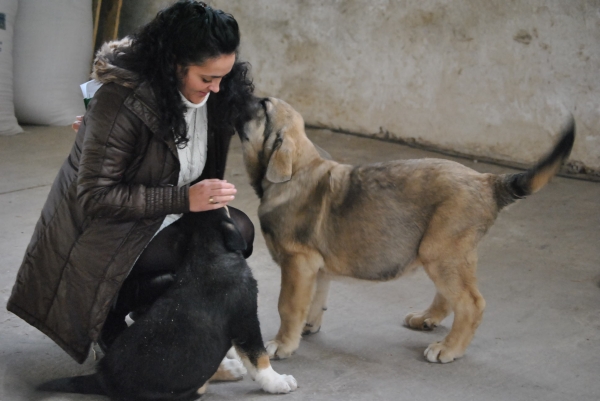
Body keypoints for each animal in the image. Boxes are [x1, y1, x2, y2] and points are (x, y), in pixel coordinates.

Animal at [38, 208, 296, 398]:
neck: (207, 253)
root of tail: (102, 378)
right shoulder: (246, 318)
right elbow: (259, 357)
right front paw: (277, 382)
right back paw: (229, 370)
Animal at [240, 97, 576, 362]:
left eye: (263, 107)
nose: (240, 93)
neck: (298, 169)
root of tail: (487, 181)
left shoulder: (297, 262)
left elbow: (288, 306)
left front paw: (283, 344)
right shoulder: (316, 265)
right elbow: (315, 298)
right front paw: (308, 327)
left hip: (439, 250)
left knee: (471, 304)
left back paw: (448, 349)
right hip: (448, 252)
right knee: (452, 294)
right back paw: (427, 318)